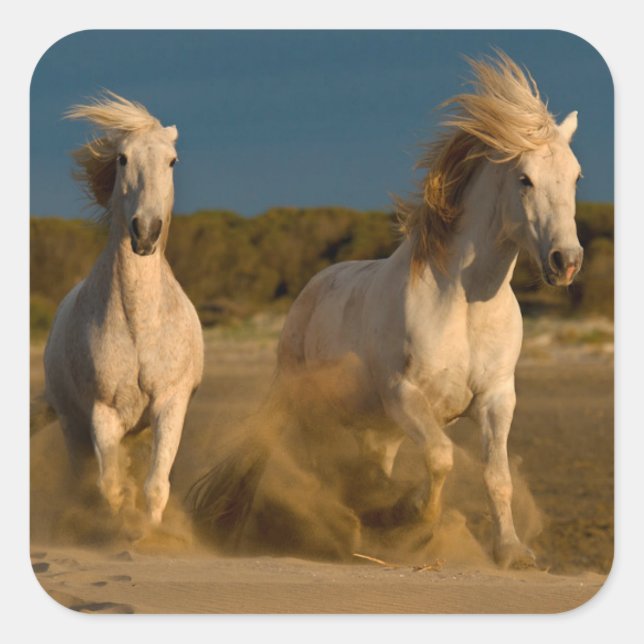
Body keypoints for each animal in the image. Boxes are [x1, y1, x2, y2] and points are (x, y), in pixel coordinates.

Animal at [44, 92, 204, 525]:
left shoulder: (170, 404)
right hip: (72, 427)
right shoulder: (103, 413)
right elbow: (112, 488)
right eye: (122, 159)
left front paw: (149, 533)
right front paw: (122, 526)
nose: (145, 232)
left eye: (172, 161)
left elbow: (155, 486)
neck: (140, 324)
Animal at [189, 52, 583, 568]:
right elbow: (440, 457)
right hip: (309, 405)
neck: (463, 306)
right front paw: (407, 521)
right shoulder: (405, 395)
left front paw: (512, 552)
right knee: (297, 462)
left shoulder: (497, 397)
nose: (566, 261)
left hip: (378, 430)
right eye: (525, 179)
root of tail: (312, 288)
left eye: (576, 176)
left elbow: (497, 476)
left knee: (365, 468)